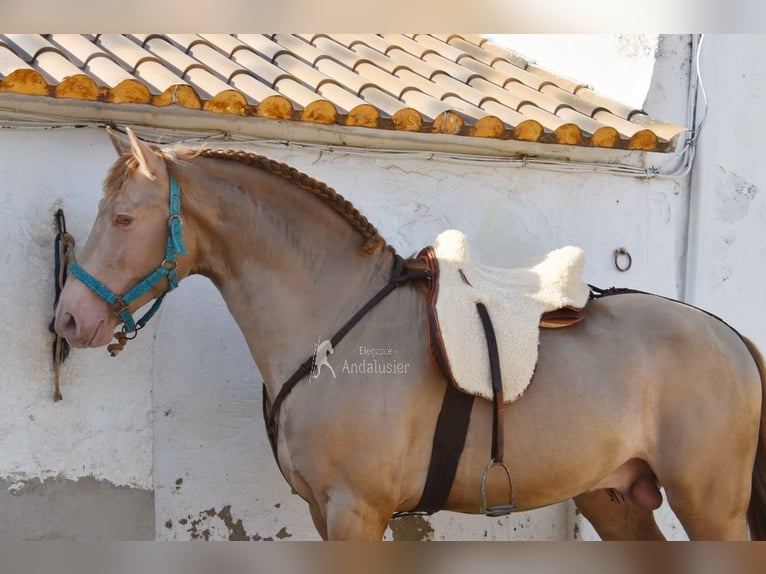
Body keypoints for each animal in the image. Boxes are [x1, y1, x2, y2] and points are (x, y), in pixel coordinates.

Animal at [54, 127, 766, 541]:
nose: (69, 319)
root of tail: (728, 335)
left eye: (123, 217)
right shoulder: (329, 513)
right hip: (614, 498)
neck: (333, 317)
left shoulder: (355, 511)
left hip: (710, 508)